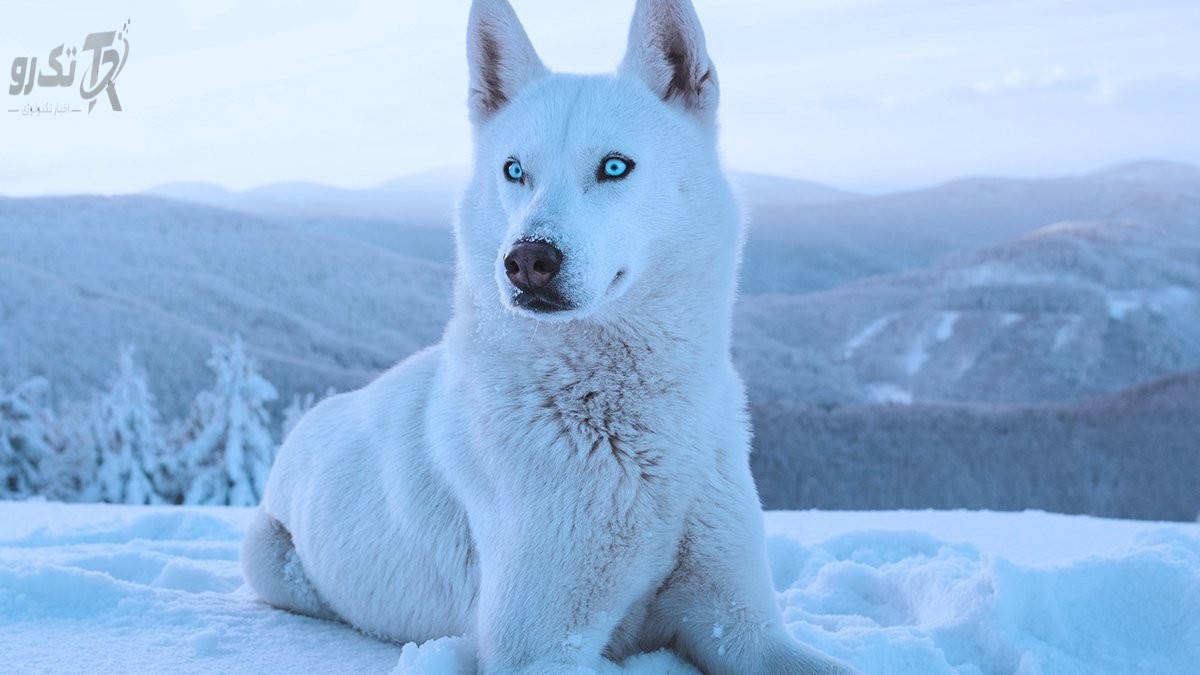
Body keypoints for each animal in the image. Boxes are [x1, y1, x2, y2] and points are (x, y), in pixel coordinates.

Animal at [241, 1, 855, 673]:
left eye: (614, 166)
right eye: (515, 171)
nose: (527, 261)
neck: (628, 426)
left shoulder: (741, 626)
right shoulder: (539, 648)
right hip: (266, 556)